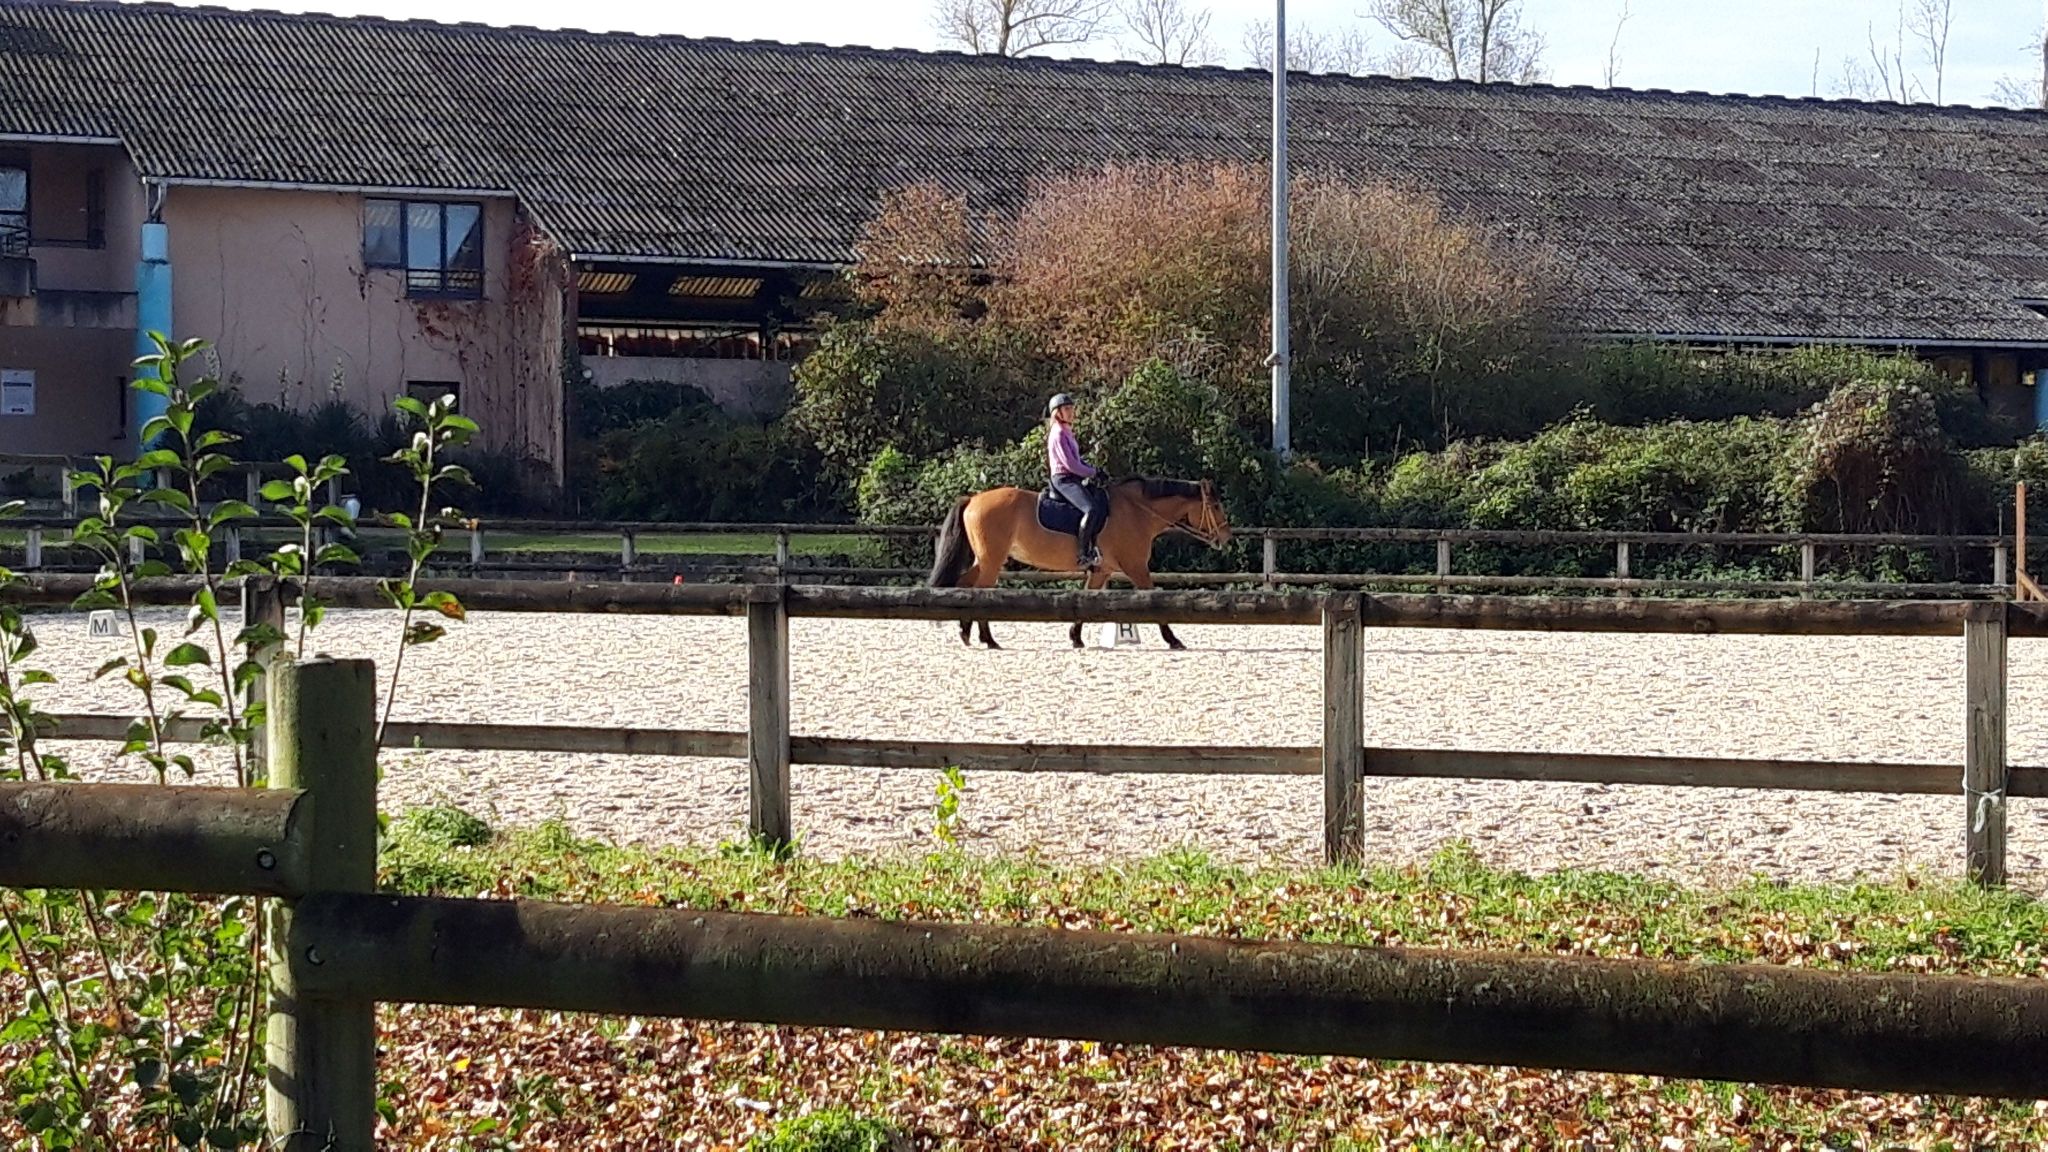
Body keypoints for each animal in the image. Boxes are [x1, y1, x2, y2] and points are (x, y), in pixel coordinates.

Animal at [926, 477, 1232, 650]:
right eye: (1216, 506)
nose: (1226, 537)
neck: (1137, 511)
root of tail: (973, 498)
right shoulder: (1136, 568)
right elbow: (1153, 599)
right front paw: (1173, 640)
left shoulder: (1102, 570)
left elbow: (1087, 598)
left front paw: (1075, 637)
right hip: (992, 559)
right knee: (980, 591)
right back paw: (988, 639)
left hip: (986, 559)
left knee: (965, 585)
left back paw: (967, 633)